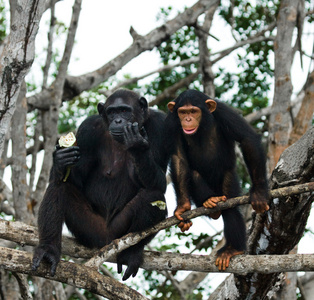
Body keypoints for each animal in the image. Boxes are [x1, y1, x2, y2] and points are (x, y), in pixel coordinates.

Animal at [31, 89, 168, 282]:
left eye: (124, 110)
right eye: (112, 112)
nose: (118, 121)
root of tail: (106, 243)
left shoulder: (161, 127)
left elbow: (160, 181)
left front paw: (137, 144)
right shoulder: (87, 129)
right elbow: (73, 179)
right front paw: (60, 159)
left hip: (118, 231)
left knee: (154, 196)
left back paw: (131, 253)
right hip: (89, 230)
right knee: (59, 188)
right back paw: (48, 250)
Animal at [164, 89, 270, 272]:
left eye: (193, 111)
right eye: (182, 112)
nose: (187, 119)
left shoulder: (224, 112)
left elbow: (247, 139)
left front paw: (259, 192)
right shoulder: (172, 124)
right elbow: (179, 159)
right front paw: (182, 207)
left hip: (228, 181)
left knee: (230, 209)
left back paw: (232, 249)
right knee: (193, 175)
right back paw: (210, 202)